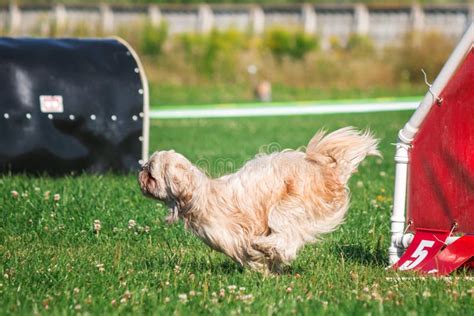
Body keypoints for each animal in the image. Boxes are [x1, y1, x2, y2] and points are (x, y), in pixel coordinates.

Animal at [139, 127, 380, 272]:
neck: (199, 195)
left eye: (151, 173)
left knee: (287, 238)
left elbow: (249, 252)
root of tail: (325, 171)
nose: (140, 170)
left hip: (291, 206)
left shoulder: (231, 235)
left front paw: (263, 267)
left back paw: (264, 245)